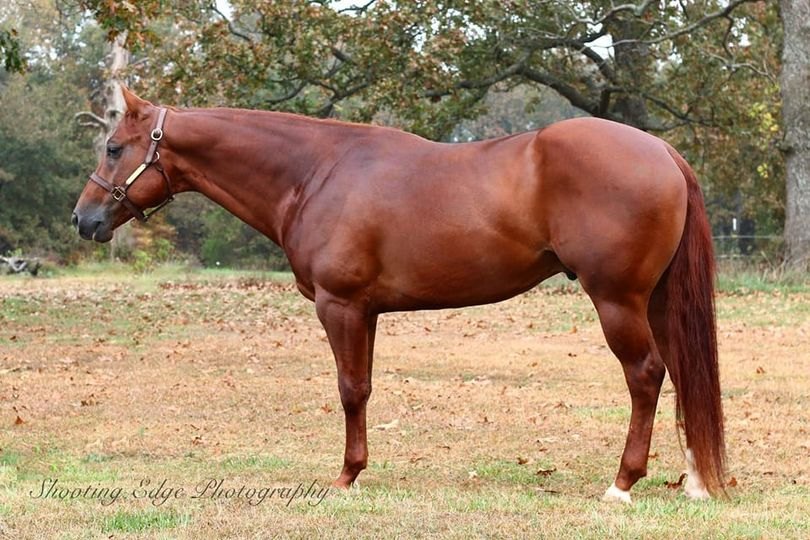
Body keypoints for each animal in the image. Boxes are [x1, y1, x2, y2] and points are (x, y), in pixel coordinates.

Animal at [72, 87, 725, 503]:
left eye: (114, 147)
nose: (84, 220)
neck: (316, 173)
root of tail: (662, 151)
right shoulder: (367, 311)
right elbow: (364, 388)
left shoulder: (338, 305)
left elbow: (350, 391)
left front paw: (346, 478)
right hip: (656, 300)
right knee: (682, 372)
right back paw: (693, 480)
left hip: (616, 299)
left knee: (646, 374)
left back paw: (621, 484)